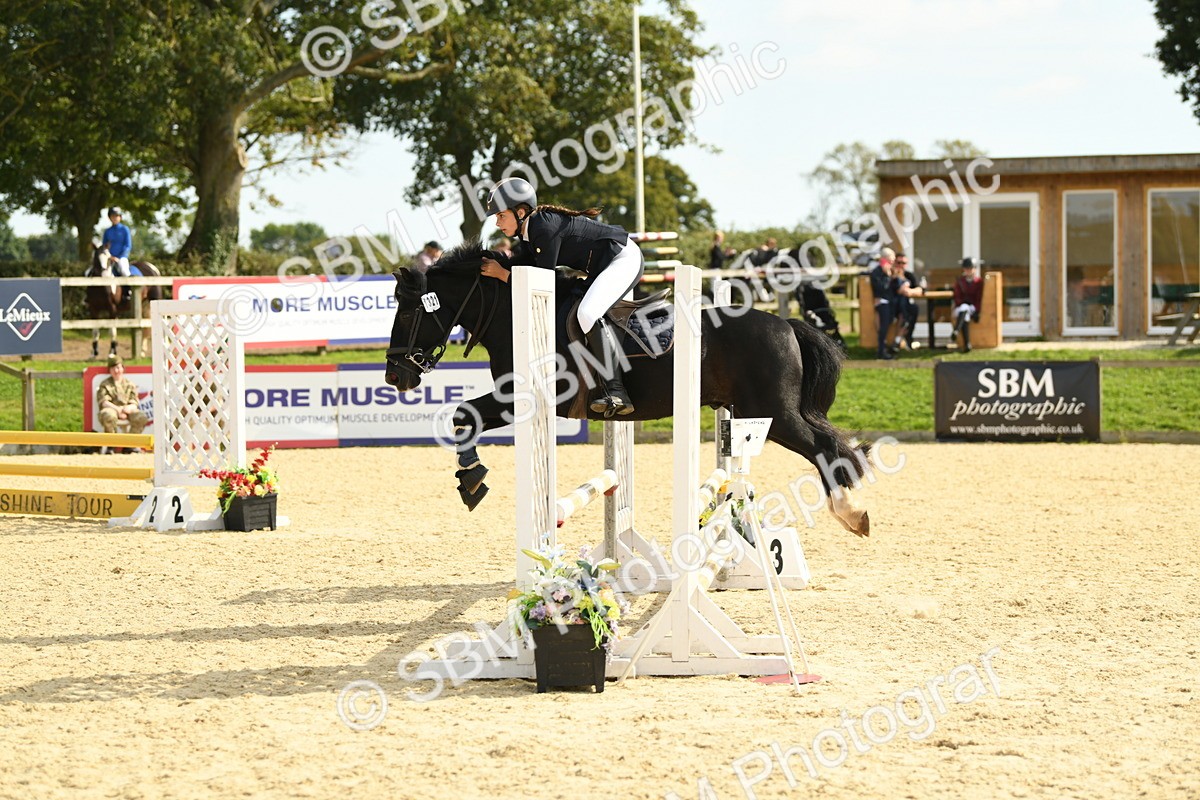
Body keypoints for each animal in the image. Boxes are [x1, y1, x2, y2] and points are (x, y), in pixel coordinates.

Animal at [384, 241, 873, 537]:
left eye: (407, 313)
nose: (395, 377)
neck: (514, 313)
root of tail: (786, 324)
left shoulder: (521, 399)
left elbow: (462, 414)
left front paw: (472, 478)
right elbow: (462, 415)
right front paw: (470, 477)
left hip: (776, 414)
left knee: (825, 447)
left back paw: (851, 510)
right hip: (767, 412)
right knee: (834, 443)